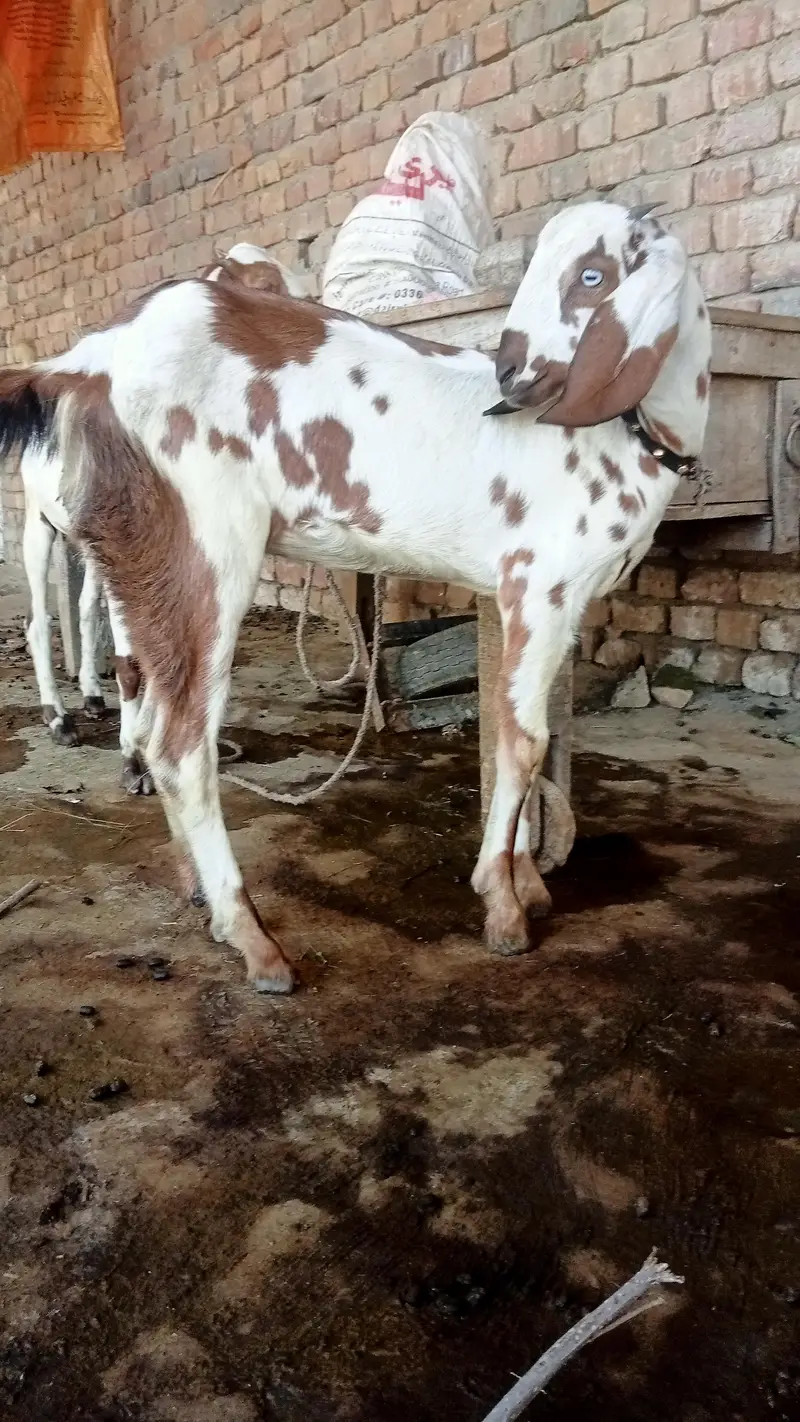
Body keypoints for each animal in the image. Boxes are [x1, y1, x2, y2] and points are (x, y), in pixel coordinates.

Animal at [16, 244, 312, 794]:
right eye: (264, 287)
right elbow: (135, 662)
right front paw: (134, 762)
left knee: (85, 608)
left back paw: (92, 695)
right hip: (38, 519)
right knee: (38, 621)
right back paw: (58, 718)